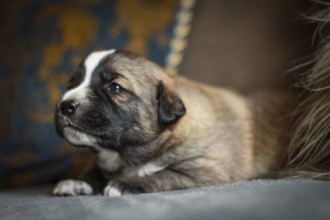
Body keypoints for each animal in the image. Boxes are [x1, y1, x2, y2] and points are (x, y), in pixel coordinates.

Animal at [52, 49, 292, 196]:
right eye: (71, 84)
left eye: (116, 87)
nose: (65, 105)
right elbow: (94, 169)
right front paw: (77, 181)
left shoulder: (207, 171)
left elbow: (165, 175)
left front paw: (126, 183)